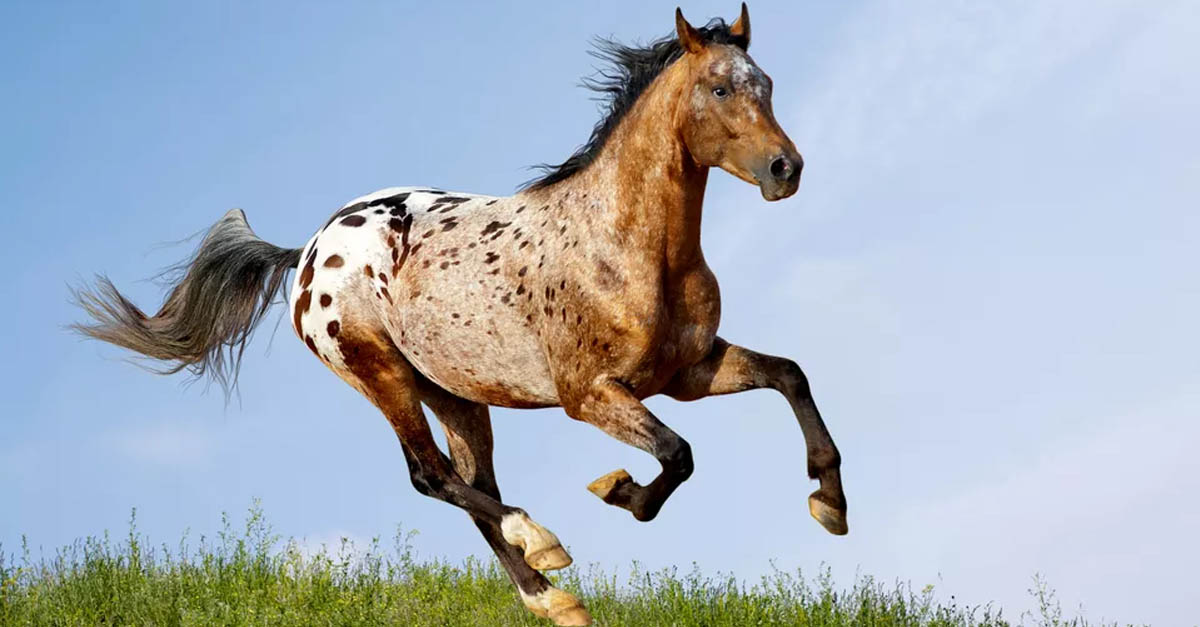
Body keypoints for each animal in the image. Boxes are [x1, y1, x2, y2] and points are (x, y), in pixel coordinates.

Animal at [72, 6, 844, 624]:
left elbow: (790, 375)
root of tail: (309, 250)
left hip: (458, 393)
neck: (625, 245)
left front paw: (829, 501)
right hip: (380, 374)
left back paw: (554, 600)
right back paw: (544, 545)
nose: (786, 169)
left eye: (766, 85)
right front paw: (619, 491)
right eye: (720, 88)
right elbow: (677, 455)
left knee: (473, 484)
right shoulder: (591, 395)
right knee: (433, 477)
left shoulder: (688, 371)